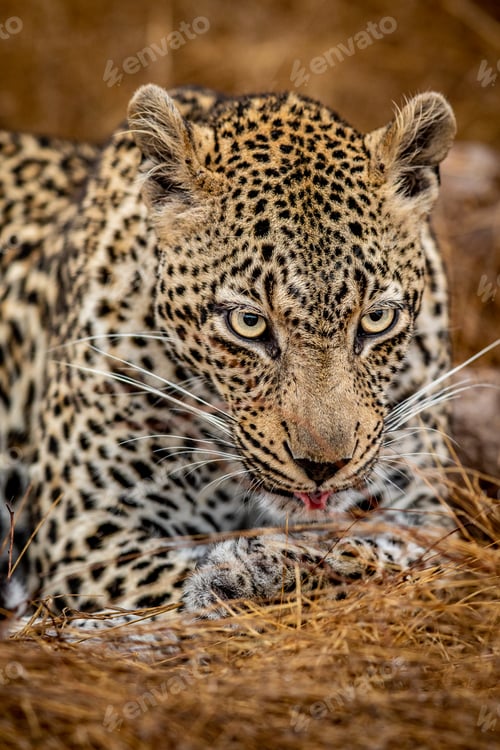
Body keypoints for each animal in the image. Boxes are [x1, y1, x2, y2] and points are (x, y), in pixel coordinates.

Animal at [0, 84, 457, 620]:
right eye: (248, 323)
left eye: (376, 319)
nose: (323, 468)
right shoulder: (87, 537)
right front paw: (239, 575)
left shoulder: (427, 507)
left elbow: (401, 557)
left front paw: (261, 567)